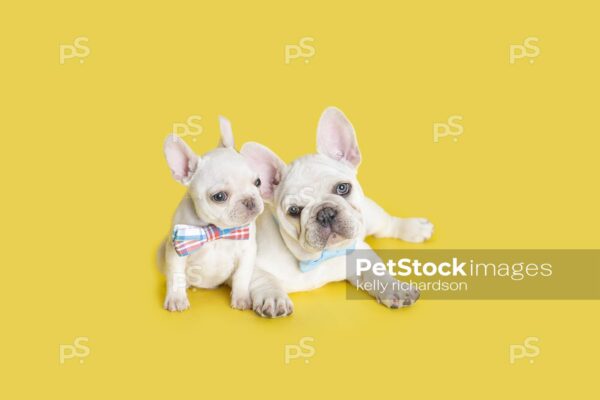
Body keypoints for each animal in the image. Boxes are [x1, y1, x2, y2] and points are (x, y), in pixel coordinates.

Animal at [158, 117, 264, 310]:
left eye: (258, 182)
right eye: (219, 196)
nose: (250, 200)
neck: (216, 231)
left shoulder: (247, 251)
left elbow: (242, 276)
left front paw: (242, 298)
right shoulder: (176, 252)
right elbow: (176, 276)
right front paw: (176, 299)